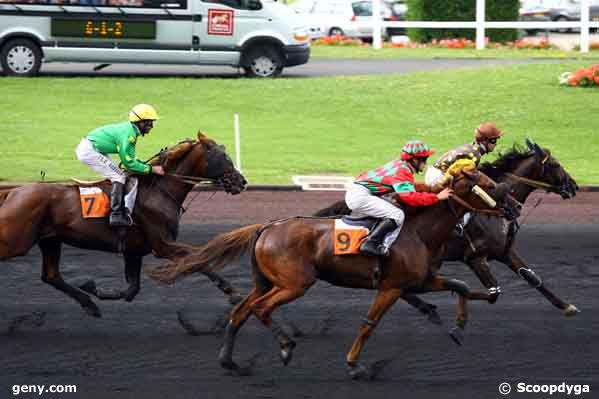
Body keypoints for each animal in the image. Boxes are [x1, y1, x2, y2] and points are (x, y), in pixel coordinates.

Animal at [0, 131, 247, 318]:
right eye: (223, 157)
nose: (241, 182)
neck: (158, 191)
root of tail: (14, 190)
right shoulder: (163, 245)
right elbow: (199, 259)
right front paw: (233, 292)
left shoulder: (134, 250)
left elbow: (131, 290)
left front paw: (95, 289)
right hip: (16, 240)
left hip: (50, 240)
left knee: (51, 276)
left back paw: (89, 304)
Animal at [150, 170, 520, 380]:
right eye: (485, 184)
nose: (514, 207)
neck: (417, 230)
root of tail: (266, 226)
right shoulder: (391, 287)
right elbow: (368, 325)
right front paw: (356, 366)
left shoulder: (418, 281)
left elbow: (460, 285)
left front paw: (459, 326)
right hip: (294, 283)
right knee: (260, 309)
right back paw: (285, 346)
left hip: (267, 281)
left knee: (241, 311)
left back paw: (231, 362)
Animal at [314, 140, 580, 338]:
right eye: (555, 164)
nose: (574, 186)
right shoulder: (475, 257)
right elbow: (492, 292)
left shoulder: (504, 251)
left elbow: (533, 277)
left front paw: (567, 306)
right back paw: (427, 307)